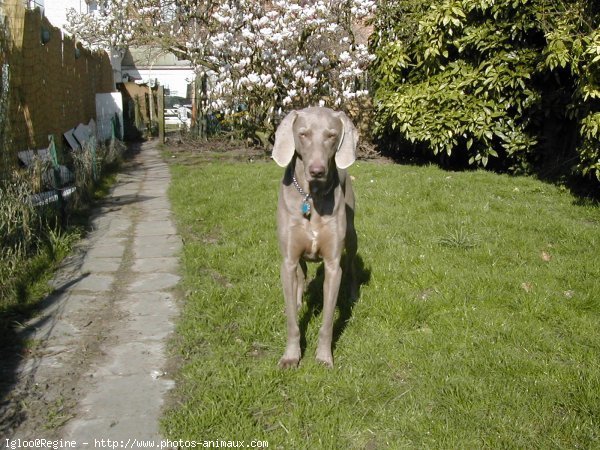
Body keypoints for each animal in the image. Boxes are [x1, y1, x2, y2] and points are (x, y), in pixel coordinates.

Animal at [272, 107, 356, 368]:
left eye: (331, 135)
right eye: (303, 134)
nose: (317, 171)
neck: (312, 197)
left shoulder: (332, 266)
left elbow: (328, 321)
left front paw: (324, 356)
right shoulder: (287, 261)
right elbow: (292, 322)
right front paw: (291, 356)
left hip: (352, 234)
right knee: (301, 275)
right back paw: (299, 302)